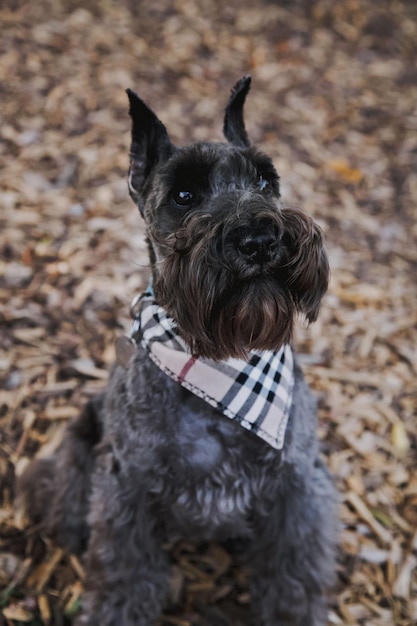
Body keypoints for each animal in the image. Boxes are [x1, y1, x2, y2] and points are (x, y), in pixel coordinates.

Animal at [18, 77, 338, 624]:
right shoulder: (126, 491)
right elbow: (124, 581)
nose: (260, 238)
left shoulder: (296, 488)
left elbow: (293, 586)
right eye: (184, 195)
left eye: (265, 181)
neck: (219, 361)